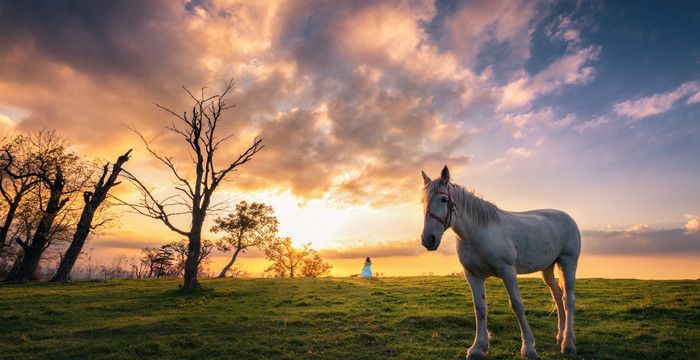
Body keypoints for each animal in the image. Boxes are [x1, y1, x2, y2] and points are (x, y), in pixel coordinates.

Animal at [422, 166, 580, 358]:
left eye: (444, 200)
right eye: (423, 201)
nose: (428, 239)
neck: (478, 233)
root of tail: (566, 217)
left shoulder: (508, 271)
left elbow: (517, 306)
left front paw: (528, 347)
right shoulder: (473, 275)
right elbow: (480, 309)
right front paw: (478, 347)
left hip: (568, 261)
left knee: (568, 298)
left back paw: (568, 343)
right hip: (548, 268)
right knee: (557, 295)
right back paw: (560, 335)